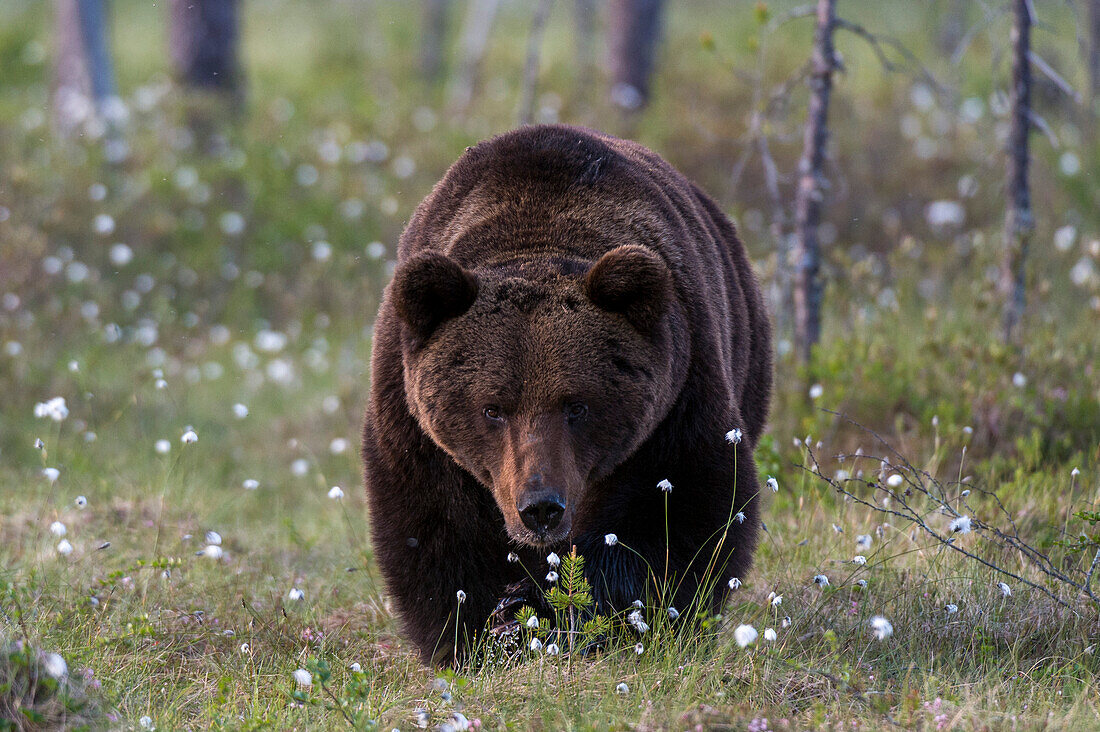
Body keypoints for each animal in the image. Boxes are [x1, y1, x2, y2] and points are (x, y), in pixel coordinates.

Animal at [363, 124, 774, 660]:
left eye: (576, 405)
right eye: (492, 408)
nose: (541, 507)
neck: (535, 232)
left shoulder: (676, 402)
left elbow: (680, 510)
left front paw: (595, 613)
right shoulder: (416, 425)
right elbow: (437, 531)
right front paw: (489, 631)